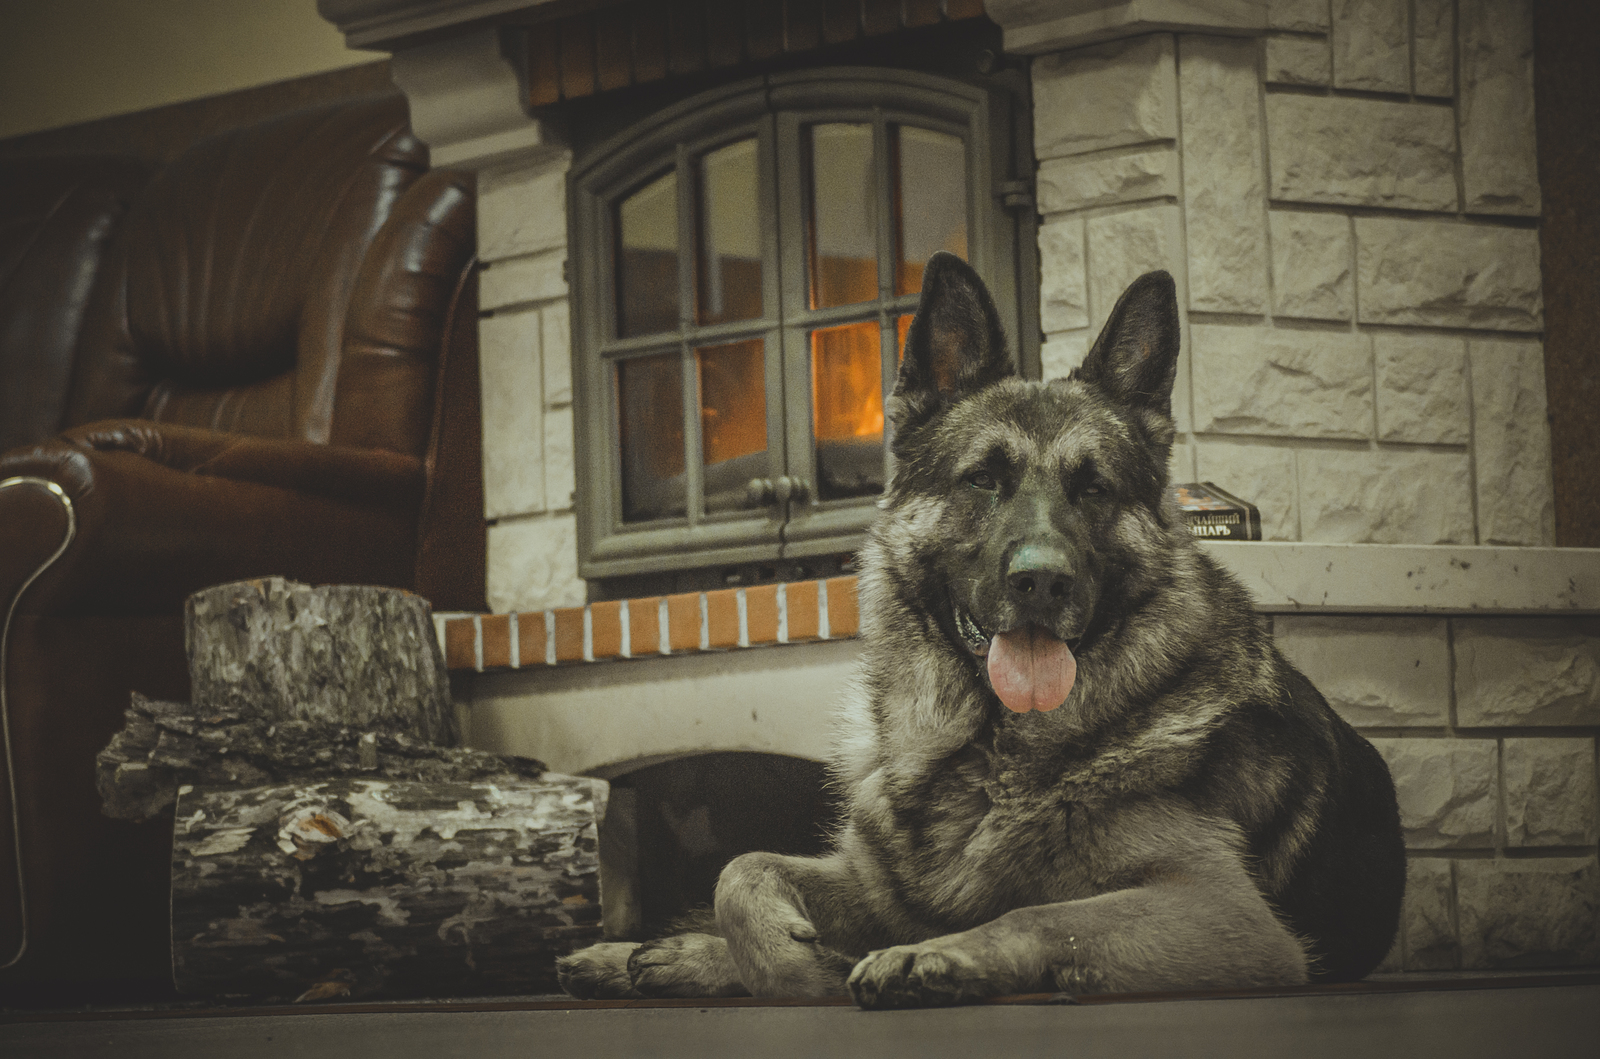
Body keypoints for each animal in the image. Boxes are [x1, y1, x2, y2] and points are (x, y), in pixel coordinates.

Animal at [560, 251, 1401, 1011]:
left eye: (1093, 488)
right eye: (983, 479)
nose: (1043, 581)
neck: (982, 750)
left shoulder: (1230, 914)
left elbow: (1041, 911)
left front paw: (927, 957)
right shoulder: (877, 884)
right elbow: (741, 868)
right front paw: (783, 963)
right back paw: (641, 954)